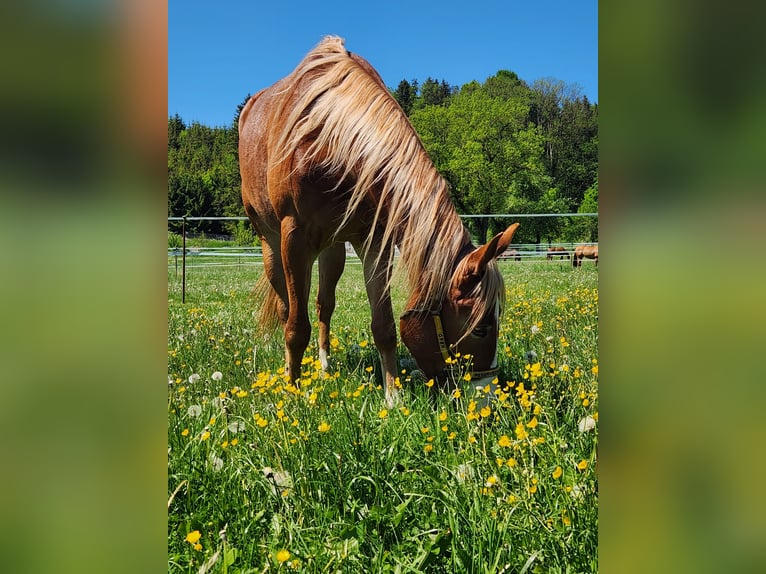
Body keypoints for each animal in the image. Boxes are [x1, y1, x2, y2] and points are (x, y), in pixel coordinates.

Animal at [238, 36, 519, 404]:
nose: (488, 397)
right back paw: (290, 374)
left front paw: (393, 397)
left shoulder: (374, 242)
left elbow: (383, 325)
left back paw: (325, 367)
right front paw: (294, 395)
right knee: (288, 307)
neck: (330, 140)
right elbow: (296, 327)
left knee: (324, 305)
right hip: (271, 243)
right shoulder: (294, 238)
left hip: (332, 251)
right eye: (483, 327)